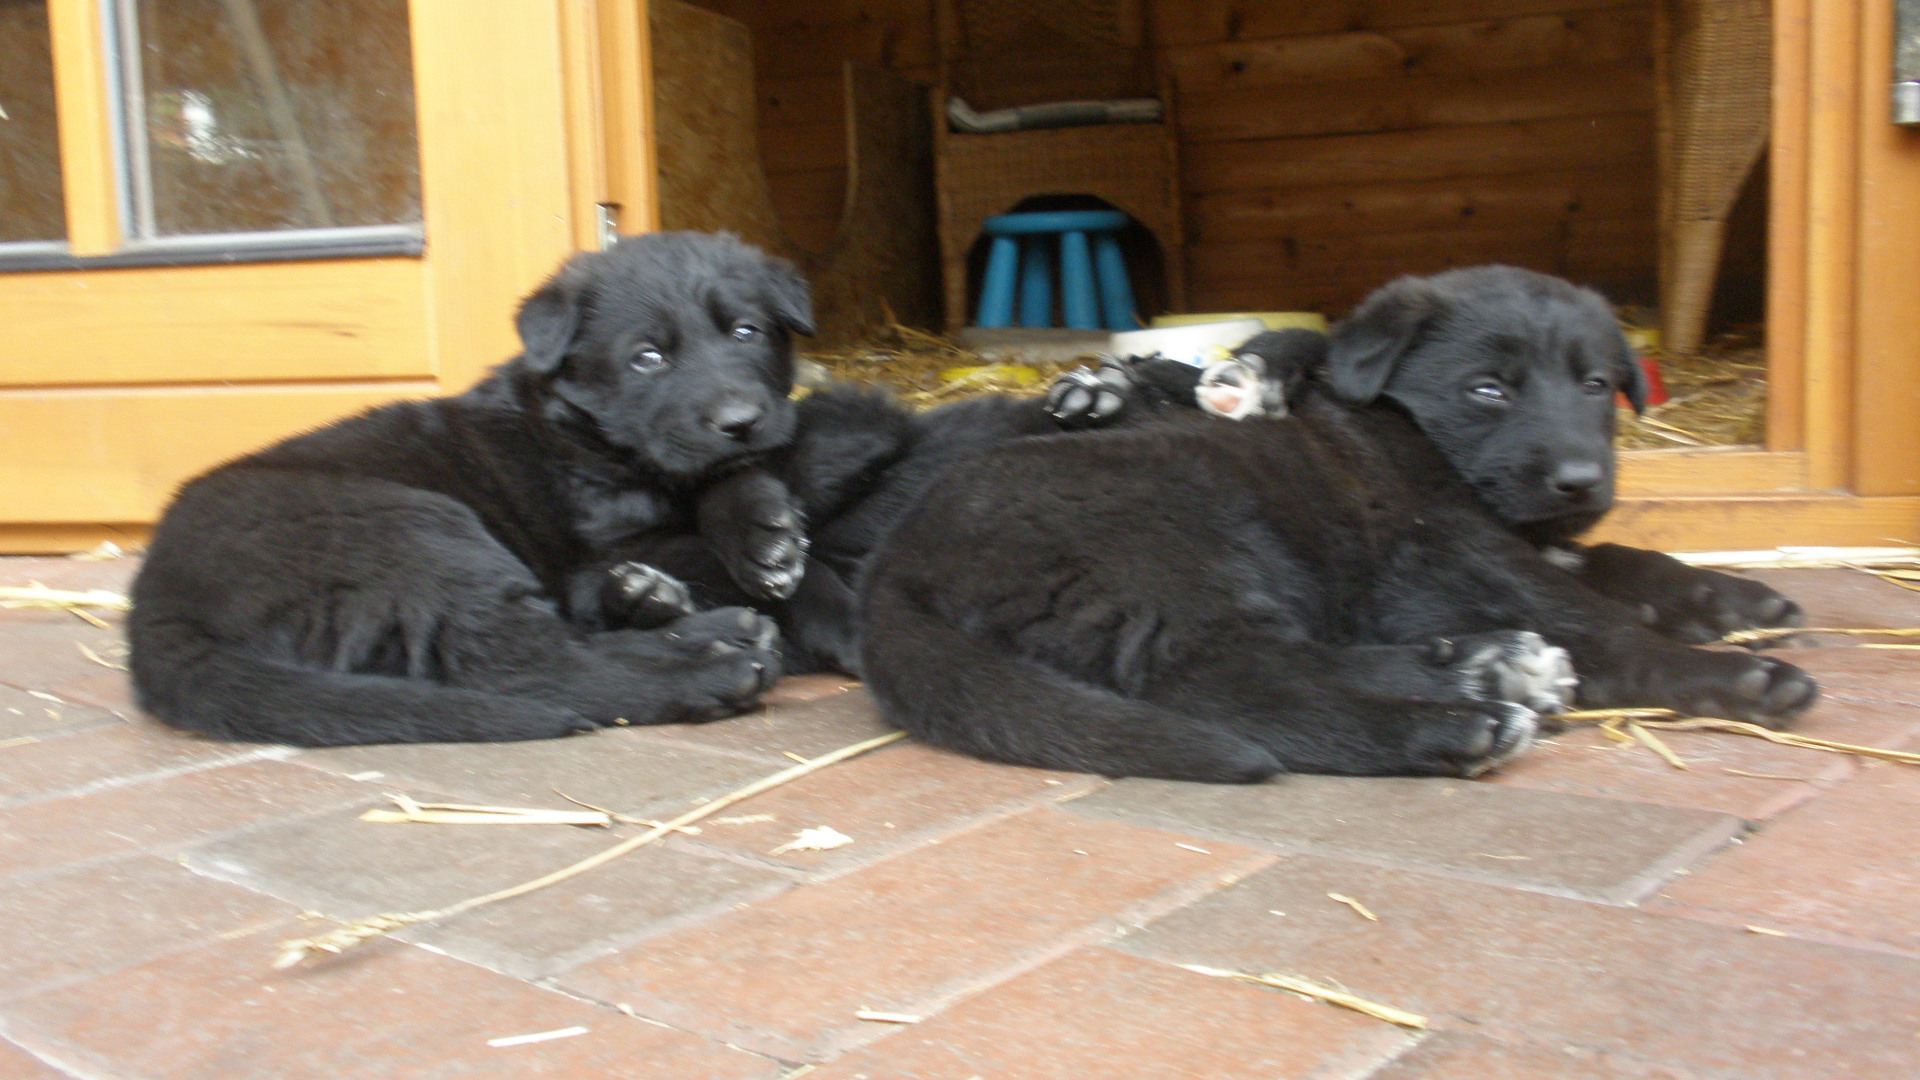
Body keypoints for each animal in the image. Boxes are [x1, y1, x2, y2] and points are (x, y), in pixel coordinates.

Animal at [130, 232, 815, 746]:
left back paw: (675, 612)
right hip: (411, 529)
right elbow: (679, 530)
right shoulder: (601, 542)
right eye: (647, 357)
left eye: (746, 331)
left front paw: (764, 534)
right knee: (529, 661)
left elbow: (728, 478)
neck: (585, 432)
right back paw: (713, 662)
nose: (740, 420)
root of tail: (155, 601)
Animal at [856, 267, 1818, 782]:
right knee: (1245, 684)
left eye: (1594, 385)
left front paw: (1731, 600)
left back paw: (1489, 670)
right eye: (1488, 388)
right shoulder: (1446, 551)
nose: (1580, 481)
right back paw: (1457, 725)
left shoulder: (1524, 538)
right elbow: (1595, 616)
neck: (1415, 430)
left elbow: (1618, 559)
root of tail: (898, 560)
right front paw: (1727, 676)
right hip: (1182, 552)